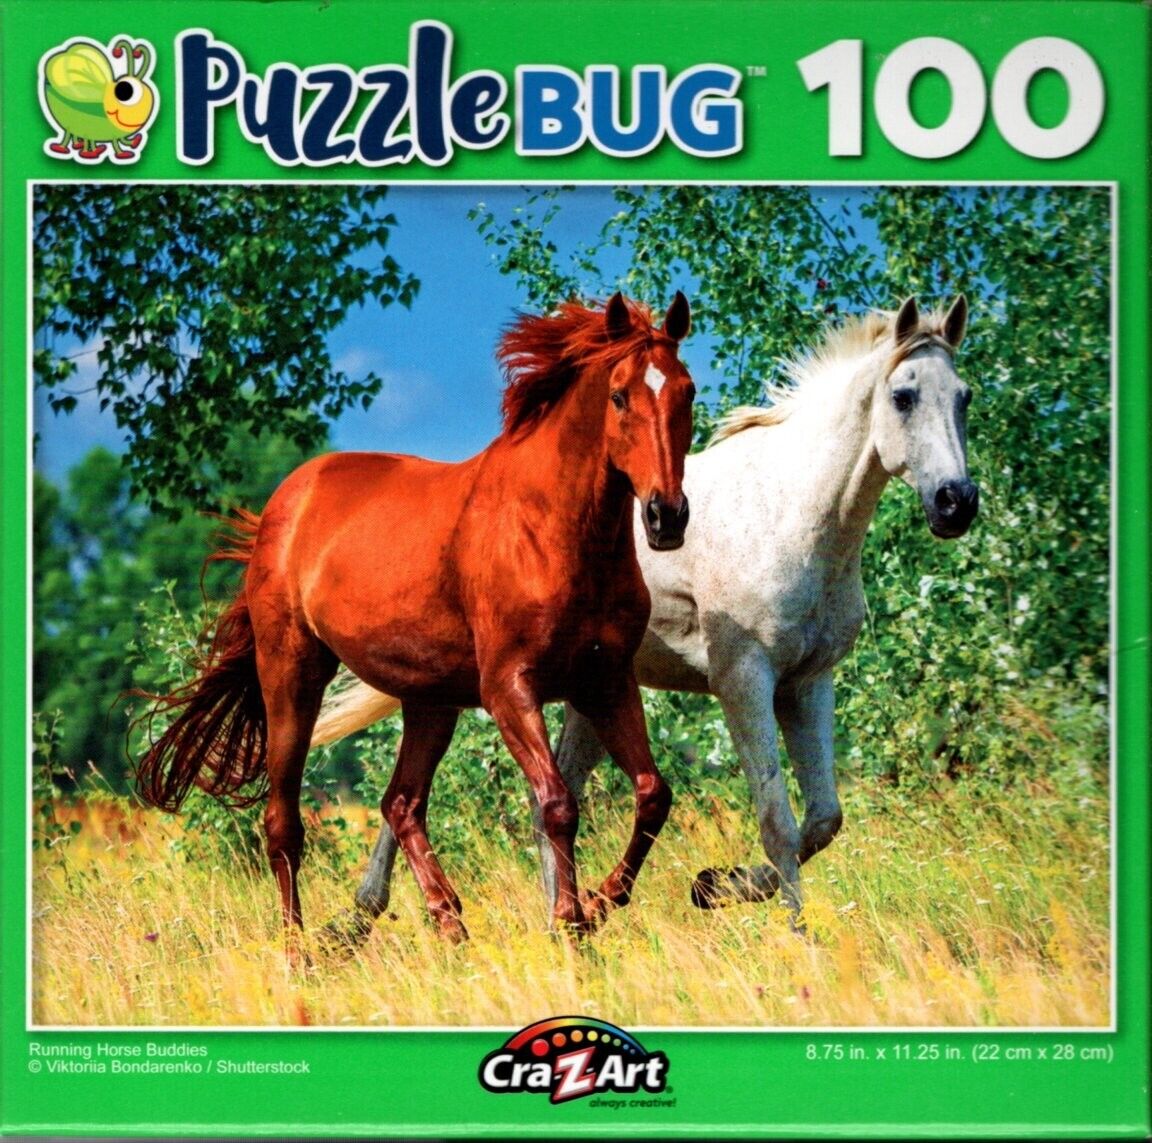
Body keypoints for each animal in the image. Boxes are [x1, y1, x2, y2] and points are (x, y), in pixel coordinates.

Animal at [135, 292, 696, 948]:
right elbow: (556, 803)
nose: (666, 517)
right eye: (619, 395)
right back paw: (301, 951)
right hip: (292, 677)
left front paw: (600, 904)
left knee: (400, 803)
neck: (551, 530)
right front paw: (569, 920)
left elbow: (652, 795)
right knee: (283, 822)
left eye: (686, 391)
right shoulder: (510, 688)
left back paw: (448, 922)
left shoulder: (605, 681)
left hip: (430, 701)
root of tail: (282, 506)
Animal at [308, 294, 976, 936]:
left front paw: (716, 886)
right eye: (903, 396)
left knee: (533, 794)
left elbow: (823, 820)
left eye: (964, 396)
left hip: (576, 694)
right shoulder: (744, 681)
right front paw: (793, 934)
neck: (786, 512)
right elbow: (778, 821)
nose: (956, 503)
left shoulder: (809, 682)